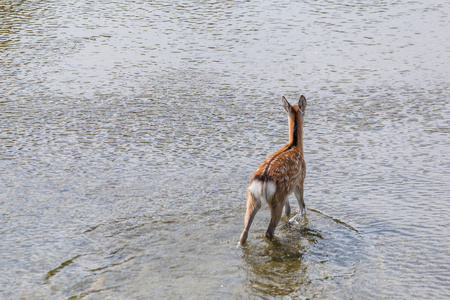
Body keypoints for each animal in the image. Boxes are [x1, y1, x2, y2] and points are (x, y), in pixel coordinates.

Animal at [239, 95, 306, 245]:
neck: (295, 145)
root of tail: (262, 181)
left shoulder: (287, 191)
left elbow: (288, 210)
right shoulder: (299, 181)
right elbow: (302, 208)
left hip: (252, 198)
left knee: (244, 232)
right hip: (277, 199)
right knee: (269, 231)